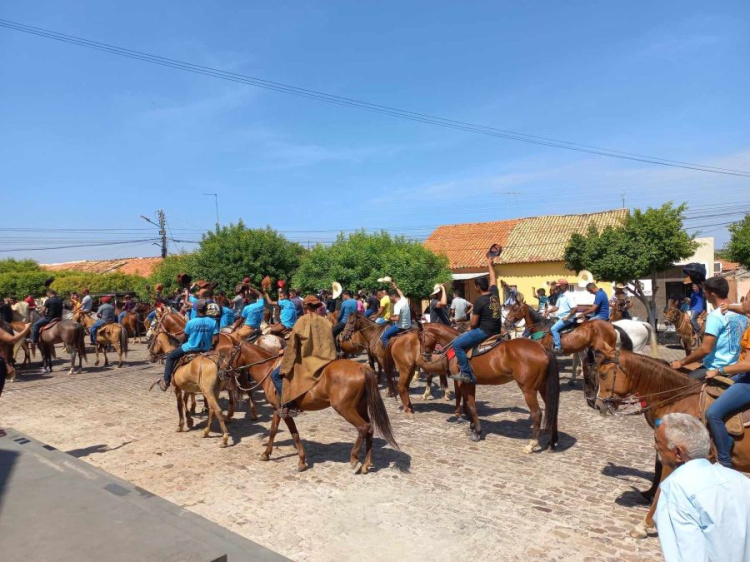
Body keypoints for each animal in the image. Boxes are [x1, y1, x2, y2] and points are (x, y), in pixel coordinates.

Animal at [229, 342, 402, 472]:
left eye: (230, 353)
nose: (226, 370)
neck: (268, 370)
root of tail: (361, 367)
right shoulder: (278, 410)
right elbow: (278, 432)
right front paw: (271, 455)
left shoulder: (282, 410)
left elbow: (289, 433)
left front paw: (298, 460)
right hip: (360, 407)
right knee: (370, 429)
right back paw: (366, 464)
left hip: (345, 409)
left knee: (363, 427)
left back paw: (354, 459)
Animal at [424, 322, 560, 448]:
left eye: (421, 336)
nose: (425, 356)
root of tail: (542, 349)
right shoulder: (471, 383)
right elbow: (470, 404)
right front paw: (472, 426)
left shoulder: (464, 382)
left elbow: (471, 406)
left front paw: (477, 432)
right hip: (543, 387)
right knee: (552, 410)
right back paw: (552, 442)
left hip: (528, 390)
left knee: (537, 413)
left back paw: (531, 444)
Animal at [592, 346, 750, 540]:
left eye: (603, 374)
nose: (597, 405)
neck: (679, 400)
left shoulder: (675, 458)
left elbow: (662, 486)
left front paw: (644, 525)